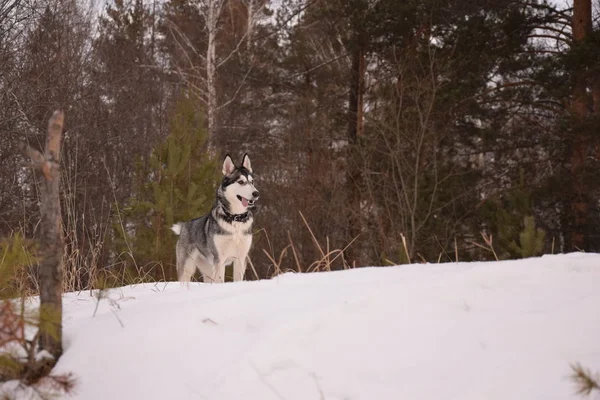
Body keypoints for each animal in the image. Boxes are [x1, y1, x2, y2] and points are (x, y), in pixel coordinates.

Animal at [171, 154, 260, 284]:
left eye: (252, 182)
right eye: (241, 182)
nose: (256, 193)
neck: (235, 219)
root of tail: (184, 225)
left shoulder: (241, 258)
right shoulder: (219, 259)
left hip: (208, 269)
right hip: (187, 266)